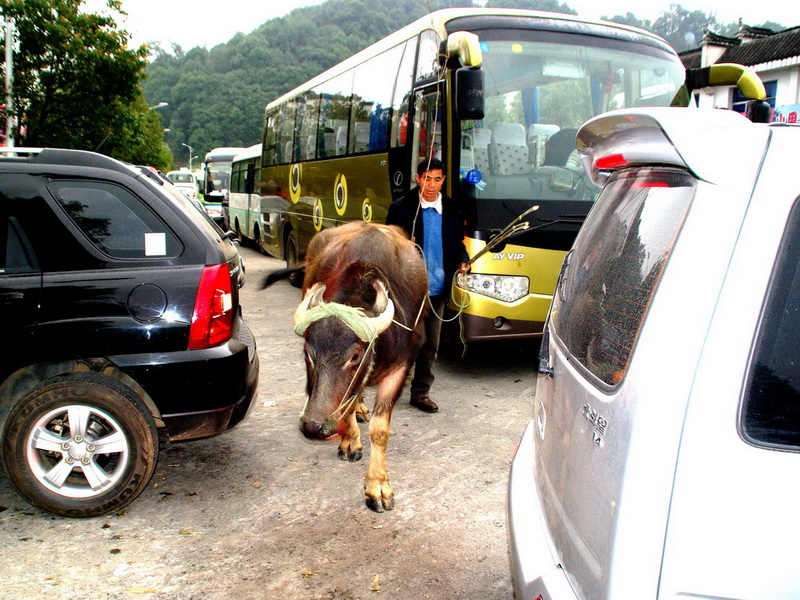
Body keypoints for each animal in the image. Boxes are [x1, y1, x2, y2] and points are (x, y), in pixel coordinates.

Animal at [264, 221, 428, 510]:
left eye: (355, 356)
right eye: (307, 354)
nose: (313, 427)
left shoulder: (401, 367)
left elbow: (380, 429)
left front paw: (378, 486)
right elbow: (348, 404)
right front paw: (350, 441)